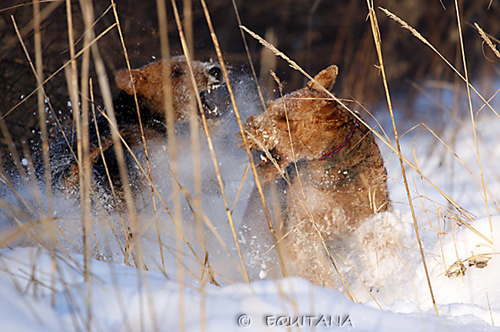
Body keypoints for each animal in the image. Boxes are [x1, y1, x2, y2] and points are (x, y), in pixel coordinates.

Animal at [240, 65, 388, 288]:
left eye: (284, 117)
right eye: (271, 106)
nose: (247, 129)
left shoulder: (369, 213)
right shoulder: (304, 225)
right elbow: (311, 260)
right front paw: (322, 286)